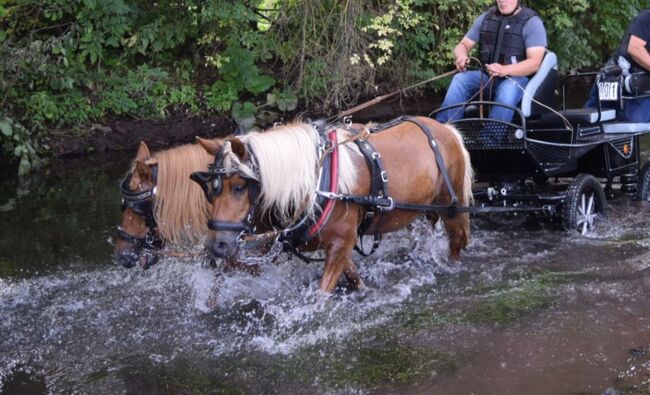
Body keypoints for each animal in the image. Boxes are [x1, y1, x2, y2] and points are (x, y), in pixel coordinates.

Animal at [192, 116, 470, 292]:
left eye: (239, 186)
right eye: (211, 189)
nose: (216, 245)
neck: (316, 182)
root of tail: (446, 129)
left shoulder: (340, 242)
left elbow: (321, 296)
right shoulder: (337, 243)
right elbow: (354, 276)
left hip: (451, 207)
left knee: (457, 242)